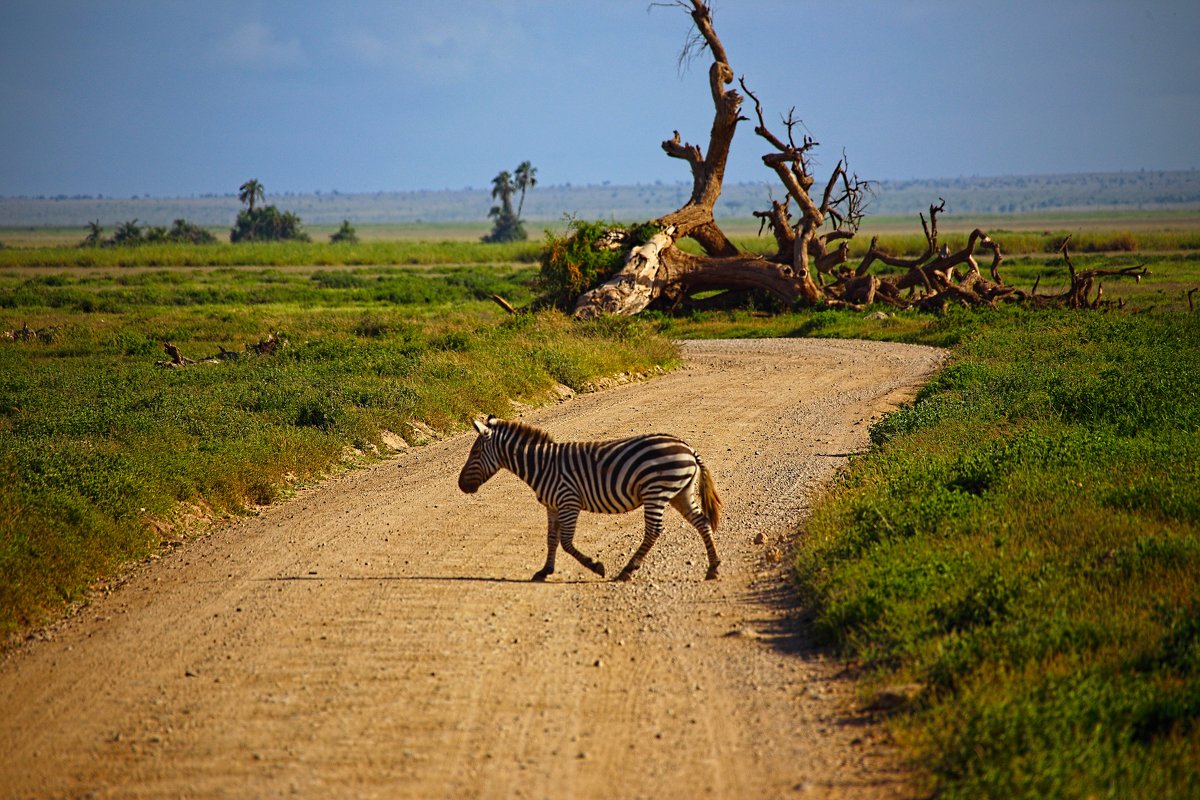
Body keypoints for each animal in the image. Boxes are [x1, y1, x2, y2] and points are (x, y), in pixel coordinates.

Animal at [456, 419, 720, 582]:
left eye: (475, 453)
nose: (460, 486)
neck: (541, 466)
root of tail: (689, 449)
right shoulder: (552, 506)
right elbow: (551, 539)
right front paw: (545, 570)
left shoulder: (568, 501)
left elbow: (566, 542)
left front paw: (596, 566)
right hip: (680, 492)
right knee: (702, 522)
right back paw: (713, 568)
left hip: (656, 490)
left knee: (654, 530)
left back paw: (626, 571)